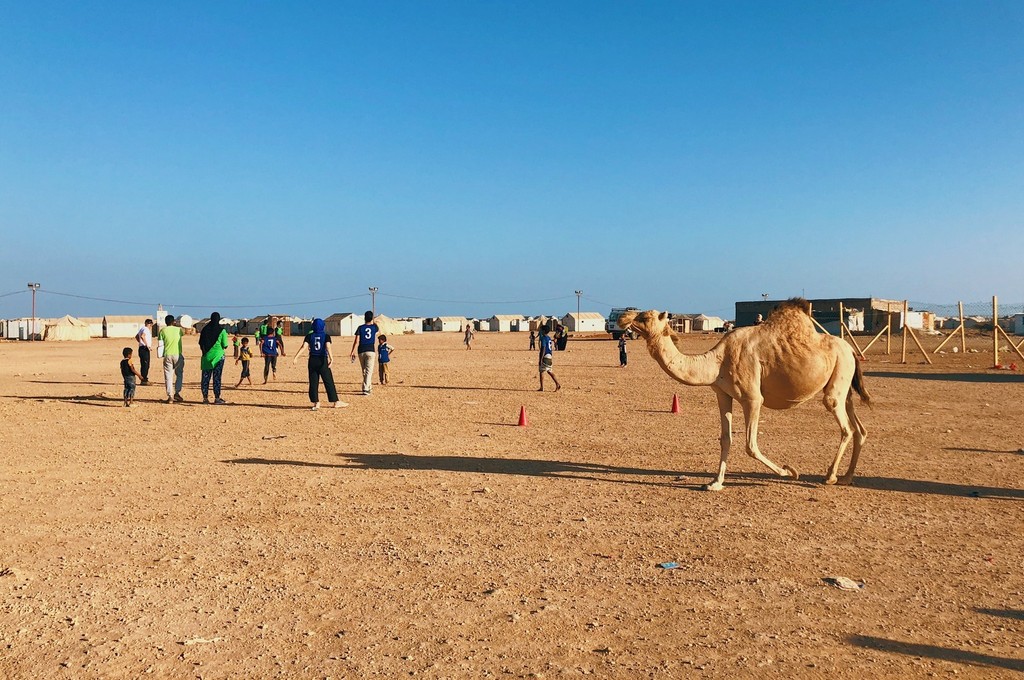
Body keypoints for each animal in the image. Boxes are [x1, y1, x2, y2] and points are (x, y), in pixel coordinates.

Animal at [619, 299, 869, 491]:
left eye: (645, 316)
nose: (622, 318)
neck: (717, 362)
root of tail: (851, 350)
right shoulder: (722, 394)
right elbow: (725, 439)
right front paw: (715, 483)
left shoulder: (752, 399)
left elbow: (750, 445)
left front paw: (789, 471)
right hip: (844, 382)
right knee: (859, 428)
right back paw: (847, 477)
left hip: (838, 377)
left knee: (845, 425)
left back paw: (831, 476)